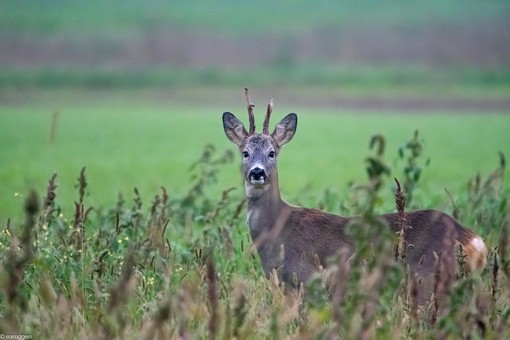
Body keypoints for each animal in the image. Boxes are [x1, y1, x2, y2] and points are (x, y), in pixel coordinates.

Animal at [221, 89, 488, 300]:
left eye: (272, 152)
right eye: (245, 152)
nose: (257, 172)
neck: (277, 229)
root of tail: (476, 242)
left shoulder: (305, 279)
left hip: (427, 279)